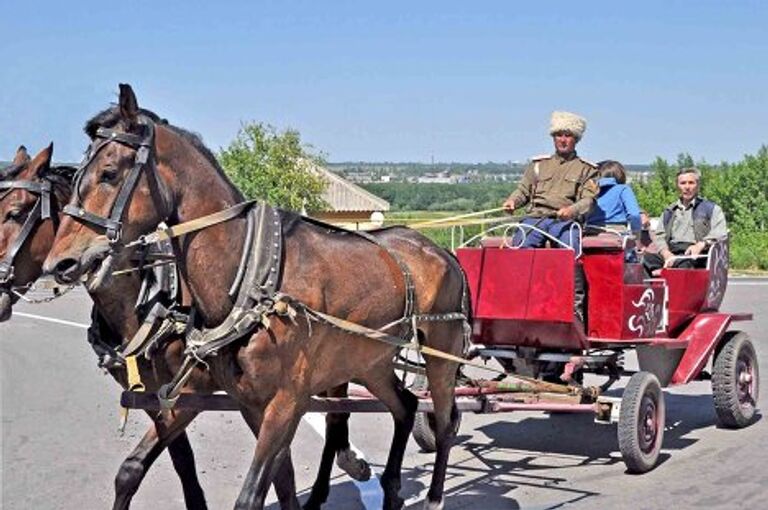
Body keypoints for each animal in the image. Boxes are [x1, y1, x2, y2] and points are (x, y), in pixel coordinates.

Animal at [46, 84, 468, 510]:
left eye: (109, 173)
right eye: (77, 176)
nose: (60, 262)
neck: (252, 278)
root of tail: (440, 251)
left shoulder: (284, 402)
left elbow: (251, 495)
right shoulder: (246, 400)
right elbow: (281, 480)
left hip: (441, 353)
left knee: (445, 421)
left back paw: (434, 496)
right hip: (370, 361)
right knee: (405, 407)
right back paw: (393, 488)